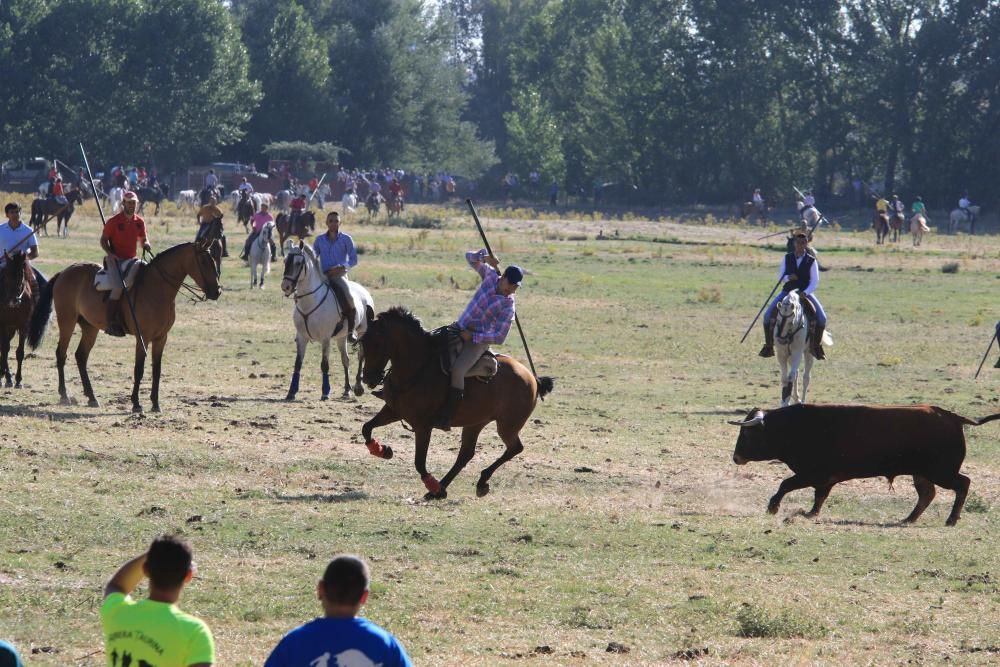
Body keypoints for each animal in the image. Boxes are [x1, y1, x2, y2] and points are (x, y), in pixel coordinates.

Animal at [0, 254, 36, 392]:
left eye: (21, 274)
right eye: (6, 274)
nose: (13, 300)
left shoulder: (23, 326)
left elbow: (20, 352)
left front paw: (18, 380)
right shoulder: (3, 325)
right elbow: (5, 349)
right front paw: (4, 376)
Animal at [27, 241, 221, 412]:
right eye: (204, 262)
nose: (217, 291)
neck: (157, 289)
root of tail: (65, 272)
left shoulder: (161, 338)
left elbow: (157, 370)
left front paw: (155, 404)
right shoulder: (143, 338)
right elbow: (139, 369)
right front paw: (136, 403)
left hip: (90, 327)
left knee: (81, 356)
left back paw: (92, 397)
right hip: (67, 321)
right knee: (61, 354)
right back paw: (64, 395)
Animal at [280, 241, 374, 402]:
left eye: (298, 263)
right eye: (285, 261)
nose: (285, 286)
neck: (310, 301)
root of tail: (364, 291)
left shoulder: (325, 338)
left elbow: (324, 365)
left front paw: (325, 392)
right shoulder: (301, 337)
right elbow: (298, 364)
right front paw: (291, 392)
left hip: (362, 333)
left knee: (361, 355)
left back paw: (358, 387)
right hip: (342, 337)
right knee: (345, 359)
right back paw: (347, 390)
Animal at [358, 308, 556, 500]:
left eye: (377, 344)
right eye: (362, 343)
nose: (368, 378)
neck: (417, 368)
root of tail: (532, 378)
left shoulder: (423, 426)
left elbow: (419, 463)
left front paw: (431, 484)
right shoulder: (393, 411)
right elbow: (366, 428)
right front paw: (382, 450)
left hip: (507, 426)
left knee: (514, 448)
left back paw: (469, 483)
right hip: (476, 422)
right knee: (466, 454)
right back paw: (445, 488)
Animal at [728, 402, 1000, 528]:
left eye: (747, 435)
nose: (736, 458)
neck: (792, 428)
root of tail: (953, 417)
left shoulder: (813, 473)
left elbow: (785, 485)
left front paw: (773, 507)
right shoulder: (824, 479)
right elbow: (819, 497)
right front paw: (810, 513)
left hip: (941, 471)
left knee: (963, 484)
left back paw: (951, 519)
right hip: (922, 473)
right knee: (927, 494)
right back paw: (908, 519)